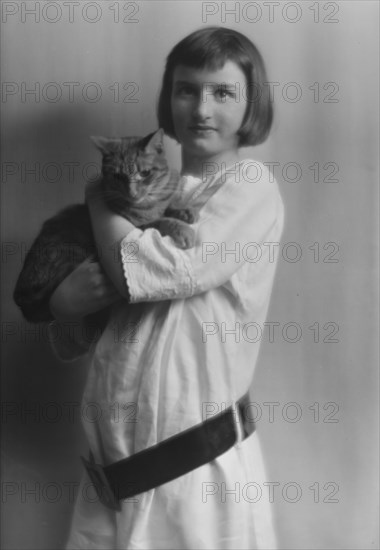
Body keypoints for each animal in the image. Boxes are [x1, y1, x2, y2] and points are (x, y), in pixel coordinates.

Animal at [12, 129, 196, 338]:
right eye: (117, 176)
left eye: (145, 173)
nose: (132, 193)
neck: (150, 202)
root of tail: (20, 296)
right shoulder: (137, 227)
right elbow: (160, 221)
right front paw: (182, 228)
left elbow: (169, 209)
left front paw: (183, 210)